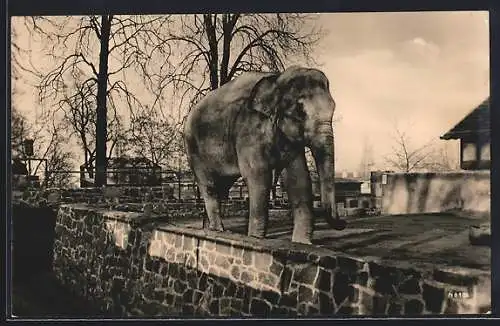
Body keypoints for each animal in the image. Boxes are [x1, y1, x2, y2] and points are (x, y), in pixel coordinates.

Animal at [182, 65, 346, 244]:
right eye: (300, 111)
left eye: (334, 107)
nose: (343, 222)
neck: (276, 79)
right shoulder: (248, 129)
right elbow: (258, 175)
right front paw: (255, 238)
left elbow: (298, 177)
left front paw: (302, 243)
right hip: (194, 151)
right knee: (209, 186)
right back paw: (217, 230)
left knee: (221, 187)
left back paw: (209, 229)